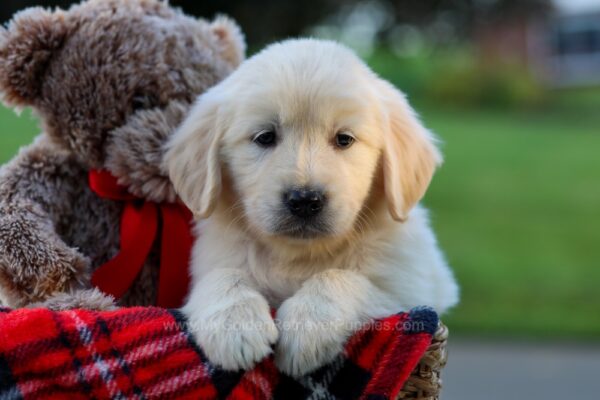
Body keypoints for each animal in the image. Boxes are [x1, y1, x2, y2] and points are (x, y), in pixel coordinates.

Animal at [165, 39, 460, 376]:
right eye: (264, 137)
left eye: (344, 139)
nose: (305, 200)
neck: (298, 255)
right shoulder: (215, 258)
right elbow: (223, 276)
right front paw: (234, 326)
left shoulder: (414, 289)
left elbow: (344, 278)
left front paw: (305, 328)